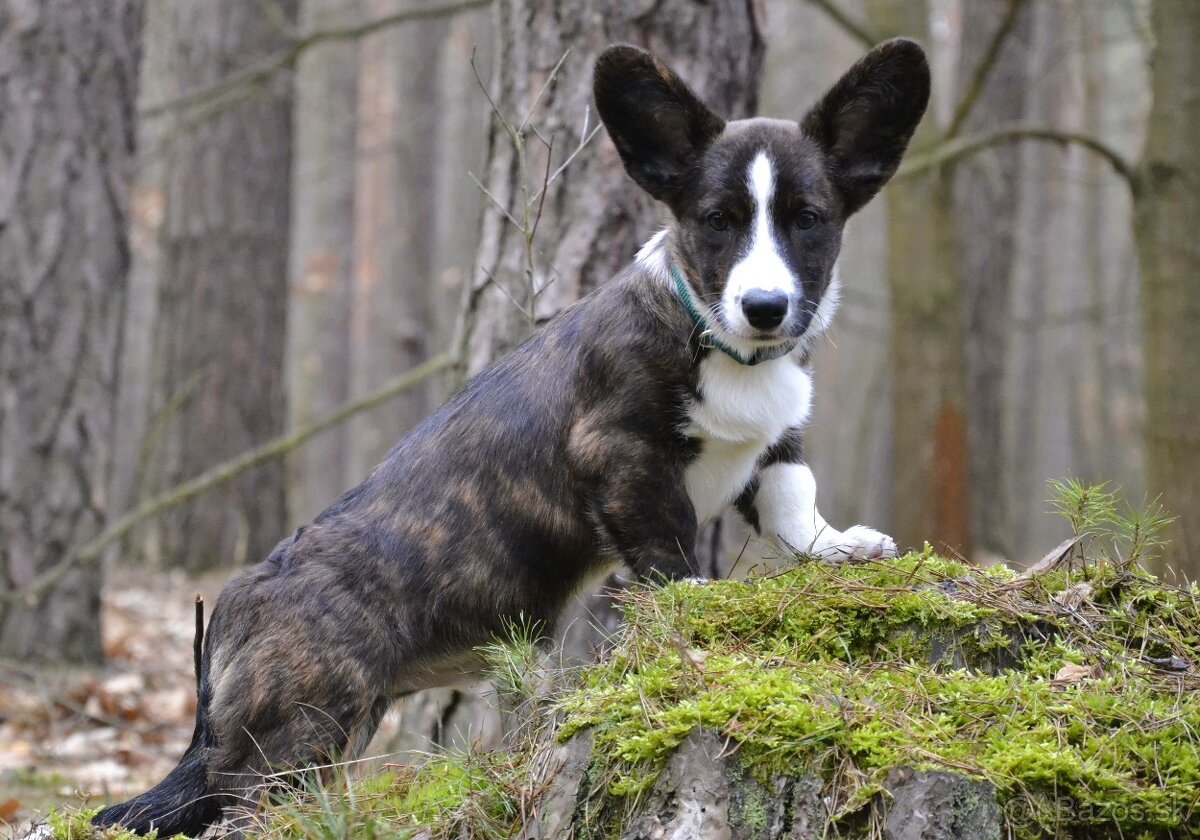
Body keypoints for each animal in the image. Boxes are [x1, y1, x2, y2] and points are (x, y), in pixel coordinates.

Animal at [96, 37, 926, 835]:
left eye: (807, 220)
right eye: (717, 220)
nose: (765, 307)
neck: (719, 342)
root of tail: (234, 605)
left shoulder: (774, 449)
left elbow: (792, 503)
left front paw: (841, 547)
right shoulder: (621, 453)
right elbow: (669, 541)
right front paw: (693, 602)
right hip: (303, 728)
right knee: (243, 808)